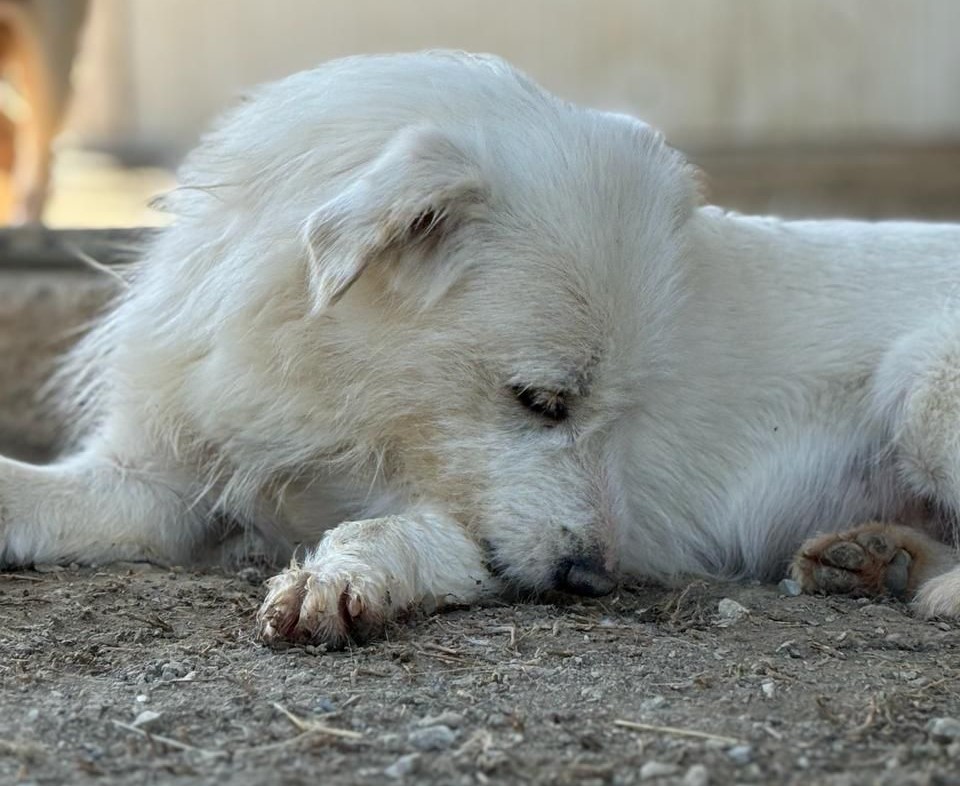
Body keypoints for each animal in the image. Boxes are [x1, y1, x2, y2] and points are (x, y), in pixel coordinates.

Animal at [1, 53, 960, 644]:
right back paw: (874, 558)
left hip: (925, 389)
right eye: (545, 401)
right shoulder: (149, 480)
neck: (333, 390)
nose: (594, 581)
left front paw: (339, 577)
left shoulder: (468, 531)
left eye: (625, 409)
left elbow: (381, 526)